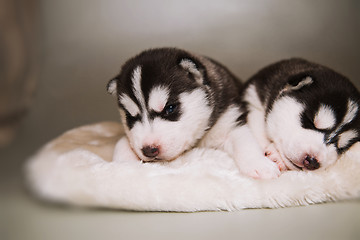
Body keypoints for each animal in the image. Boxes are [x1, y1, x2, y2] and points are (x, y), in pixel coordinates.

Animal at [107, 47, 282, 178]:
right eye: (130, 117)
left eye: (170, 108)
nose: (149, 150)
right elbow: (122, 141)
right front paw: (125, 163)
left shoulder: (231, 120)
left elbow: (244, 142)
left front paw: (259, 165)